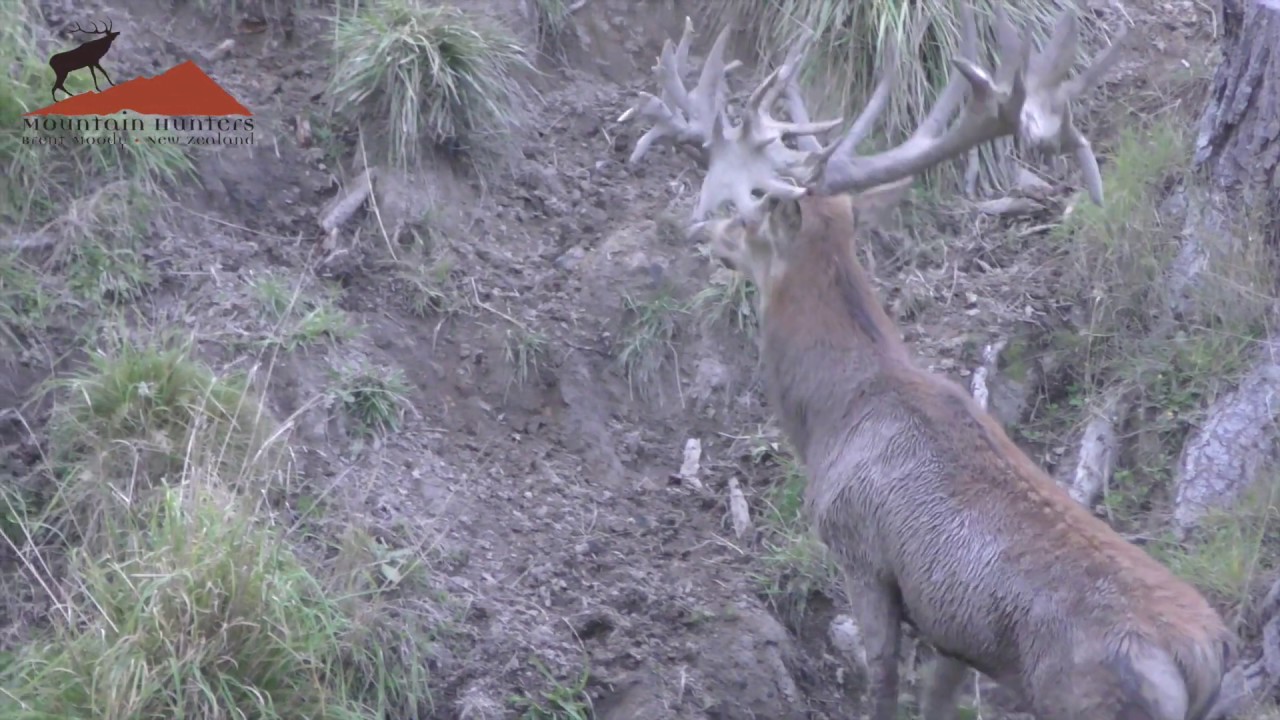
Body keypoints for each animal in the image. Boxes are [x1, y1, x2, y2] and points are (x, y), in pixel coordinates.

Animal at [617, 7, 1233, 720]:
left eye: (752, 212)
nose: (705, 232)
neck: (834, 414)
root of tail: (1201, 660)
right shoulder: (952, 632)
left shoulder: (862, 556)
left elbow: (881, 682)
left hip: (1082, 701)